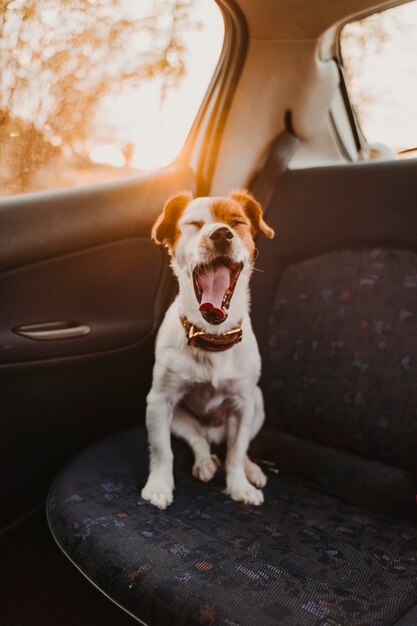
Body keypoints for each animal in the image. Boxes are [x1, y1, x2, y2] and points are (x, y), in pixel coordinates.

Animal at [141, 189, 274, 508]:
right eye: (194, 224)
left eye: (237, 223)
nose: (222, 234)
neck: (211, 336)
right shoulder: (159, 402)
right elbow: (162, 451)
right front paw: (159, 486)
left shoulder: (243, 405)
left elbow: (236, 453)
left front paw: (239, 486)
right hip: (179, 418)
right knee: (199, 440)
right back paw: (204, 462)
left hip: (258, 403)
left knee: (237, 448)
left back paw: (251, 470)